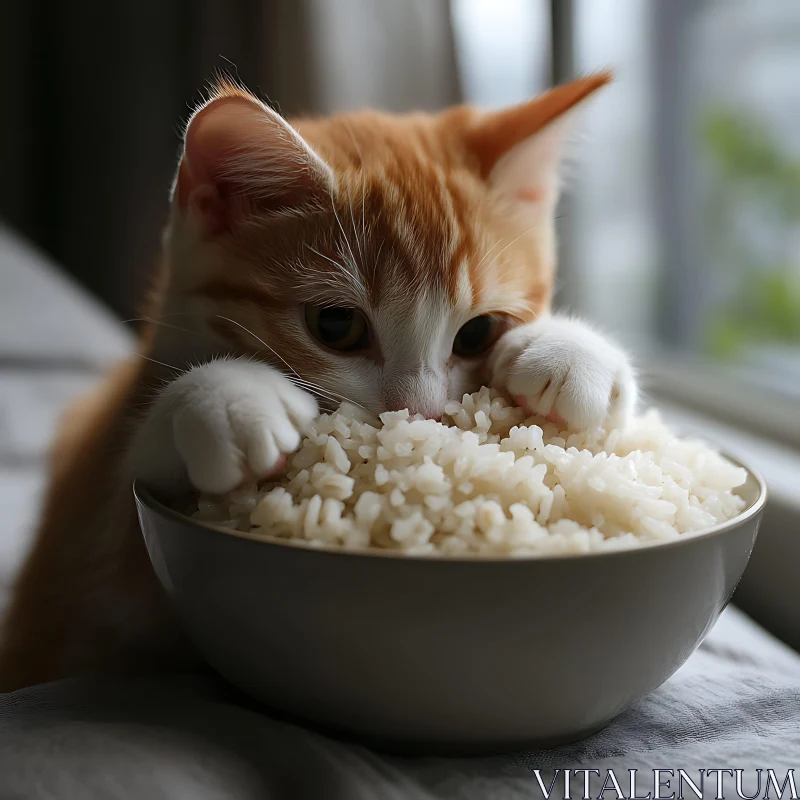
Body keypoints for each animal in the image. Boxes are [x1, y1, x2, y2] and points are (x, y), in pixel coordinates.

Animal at [0, 72, 636, 692]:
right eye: (335, 325)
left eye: (479, 332)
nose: (419, 413)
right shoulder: (95, 534)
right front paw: (227, 398)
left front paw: (568, 351)